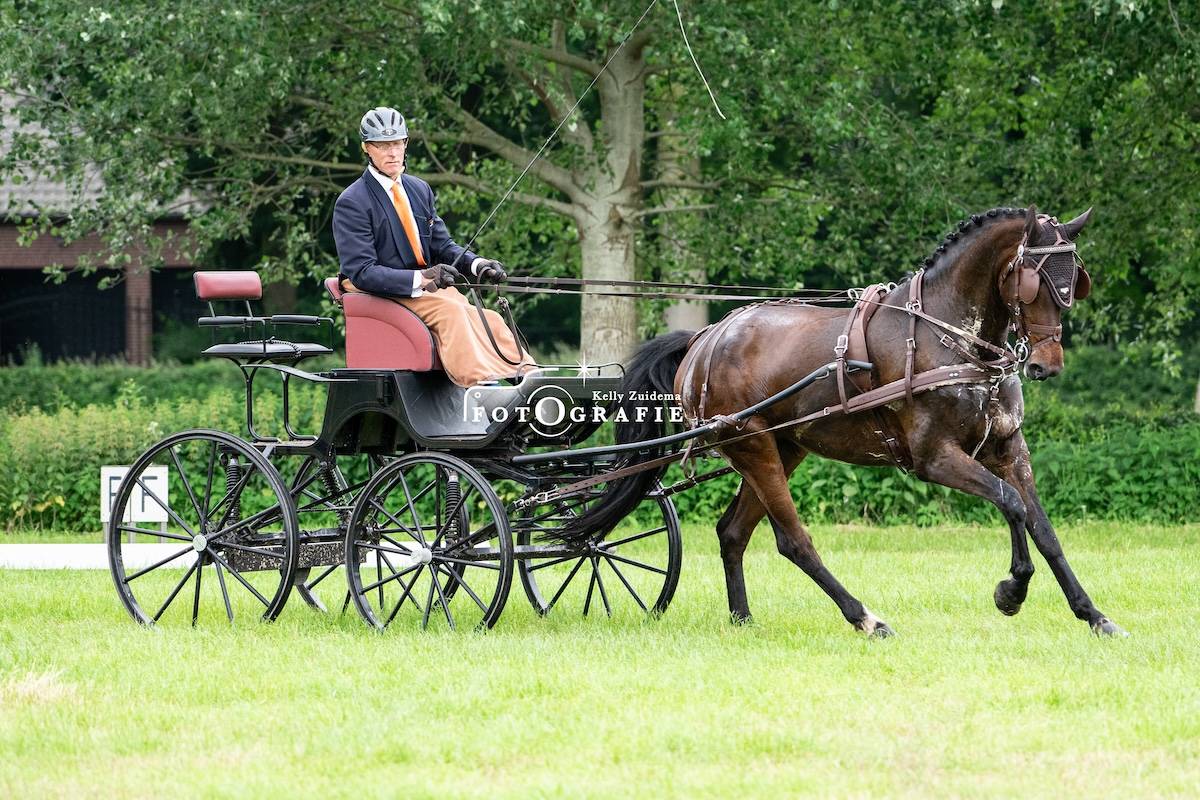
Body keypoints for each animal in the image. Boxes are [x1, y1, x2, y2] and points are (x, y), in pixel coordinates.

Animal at [561, 205, 1125, 638]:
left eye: (1072, 283)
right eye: (1034, 283)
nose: (1046, 365)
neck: (951, 338)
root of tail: (705, 339)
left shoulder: (1008, 448)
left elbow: (1043, 528)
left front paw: (1093, 615)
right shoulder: (935, 458)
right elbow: (1011, 505)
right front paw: (1011, 590)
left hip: (781, 448)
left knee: (732, 532)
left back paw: (743, 619)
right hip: (753, 448)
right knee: (793, 541)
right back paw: (865, 618)